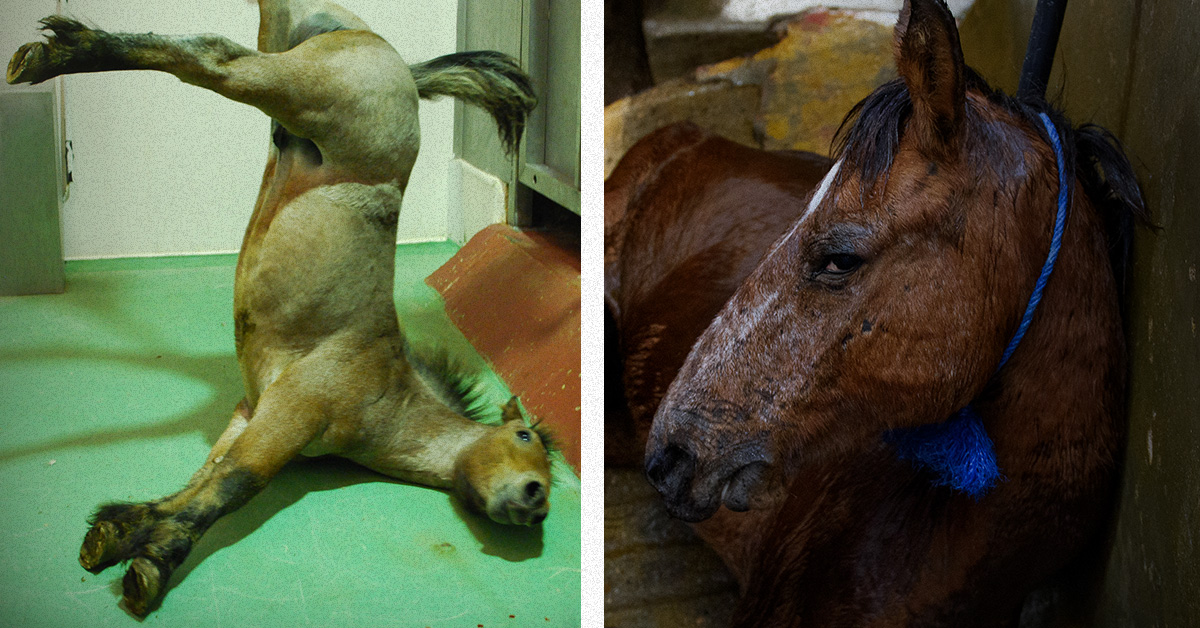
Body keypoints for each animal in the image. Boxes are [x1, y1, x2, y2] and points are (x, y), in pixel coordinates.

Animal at [7, 0, 551, 616]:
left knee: (217, 47)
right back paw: (52, 56)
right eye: (526, 439)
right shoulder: (291, 415)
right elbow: (231, 487)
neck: (391, 392)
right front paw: (155, 562)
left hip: (285, 54)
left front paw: (120, 530)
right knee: (212, 56)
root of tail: (400, 63)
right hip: (301, 91)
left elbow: (203, 477)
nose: (536, 501)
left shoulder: (253, 413)